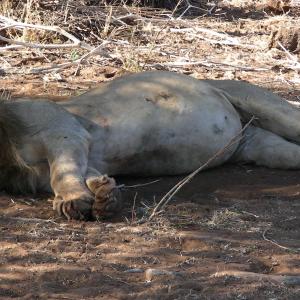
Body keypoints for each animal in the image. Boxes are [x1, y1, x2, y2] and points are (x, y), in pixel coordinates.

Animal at [2, 71, 300, 219]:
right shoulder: (49, 171)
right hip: (257, 146)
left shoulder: (63, 129)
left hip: (257, 101)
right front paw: (105, 196)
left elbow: (64, 170)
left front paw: (72, 201)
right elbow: (82, 173)